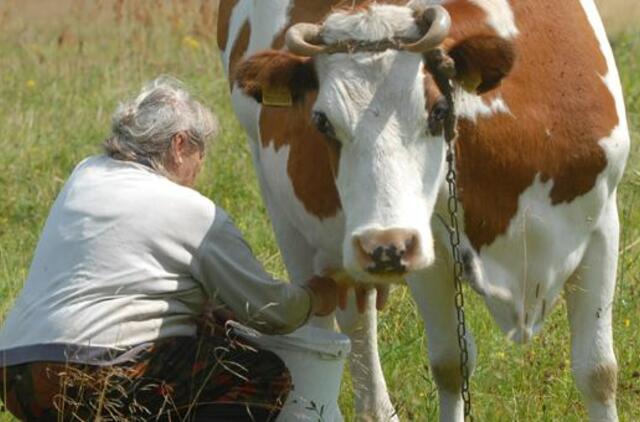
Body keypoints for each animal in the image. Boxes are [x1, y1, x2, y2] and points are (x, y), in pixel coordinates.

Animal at [218, 0, 628, 420]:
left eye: (439, 111)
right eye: (321, 121)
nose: (382, 244)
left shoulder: (602, 222)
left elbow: (597, 370)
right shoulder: (429, 249)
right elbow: (451, 365)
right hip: (285, 210)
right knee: (330, 327)